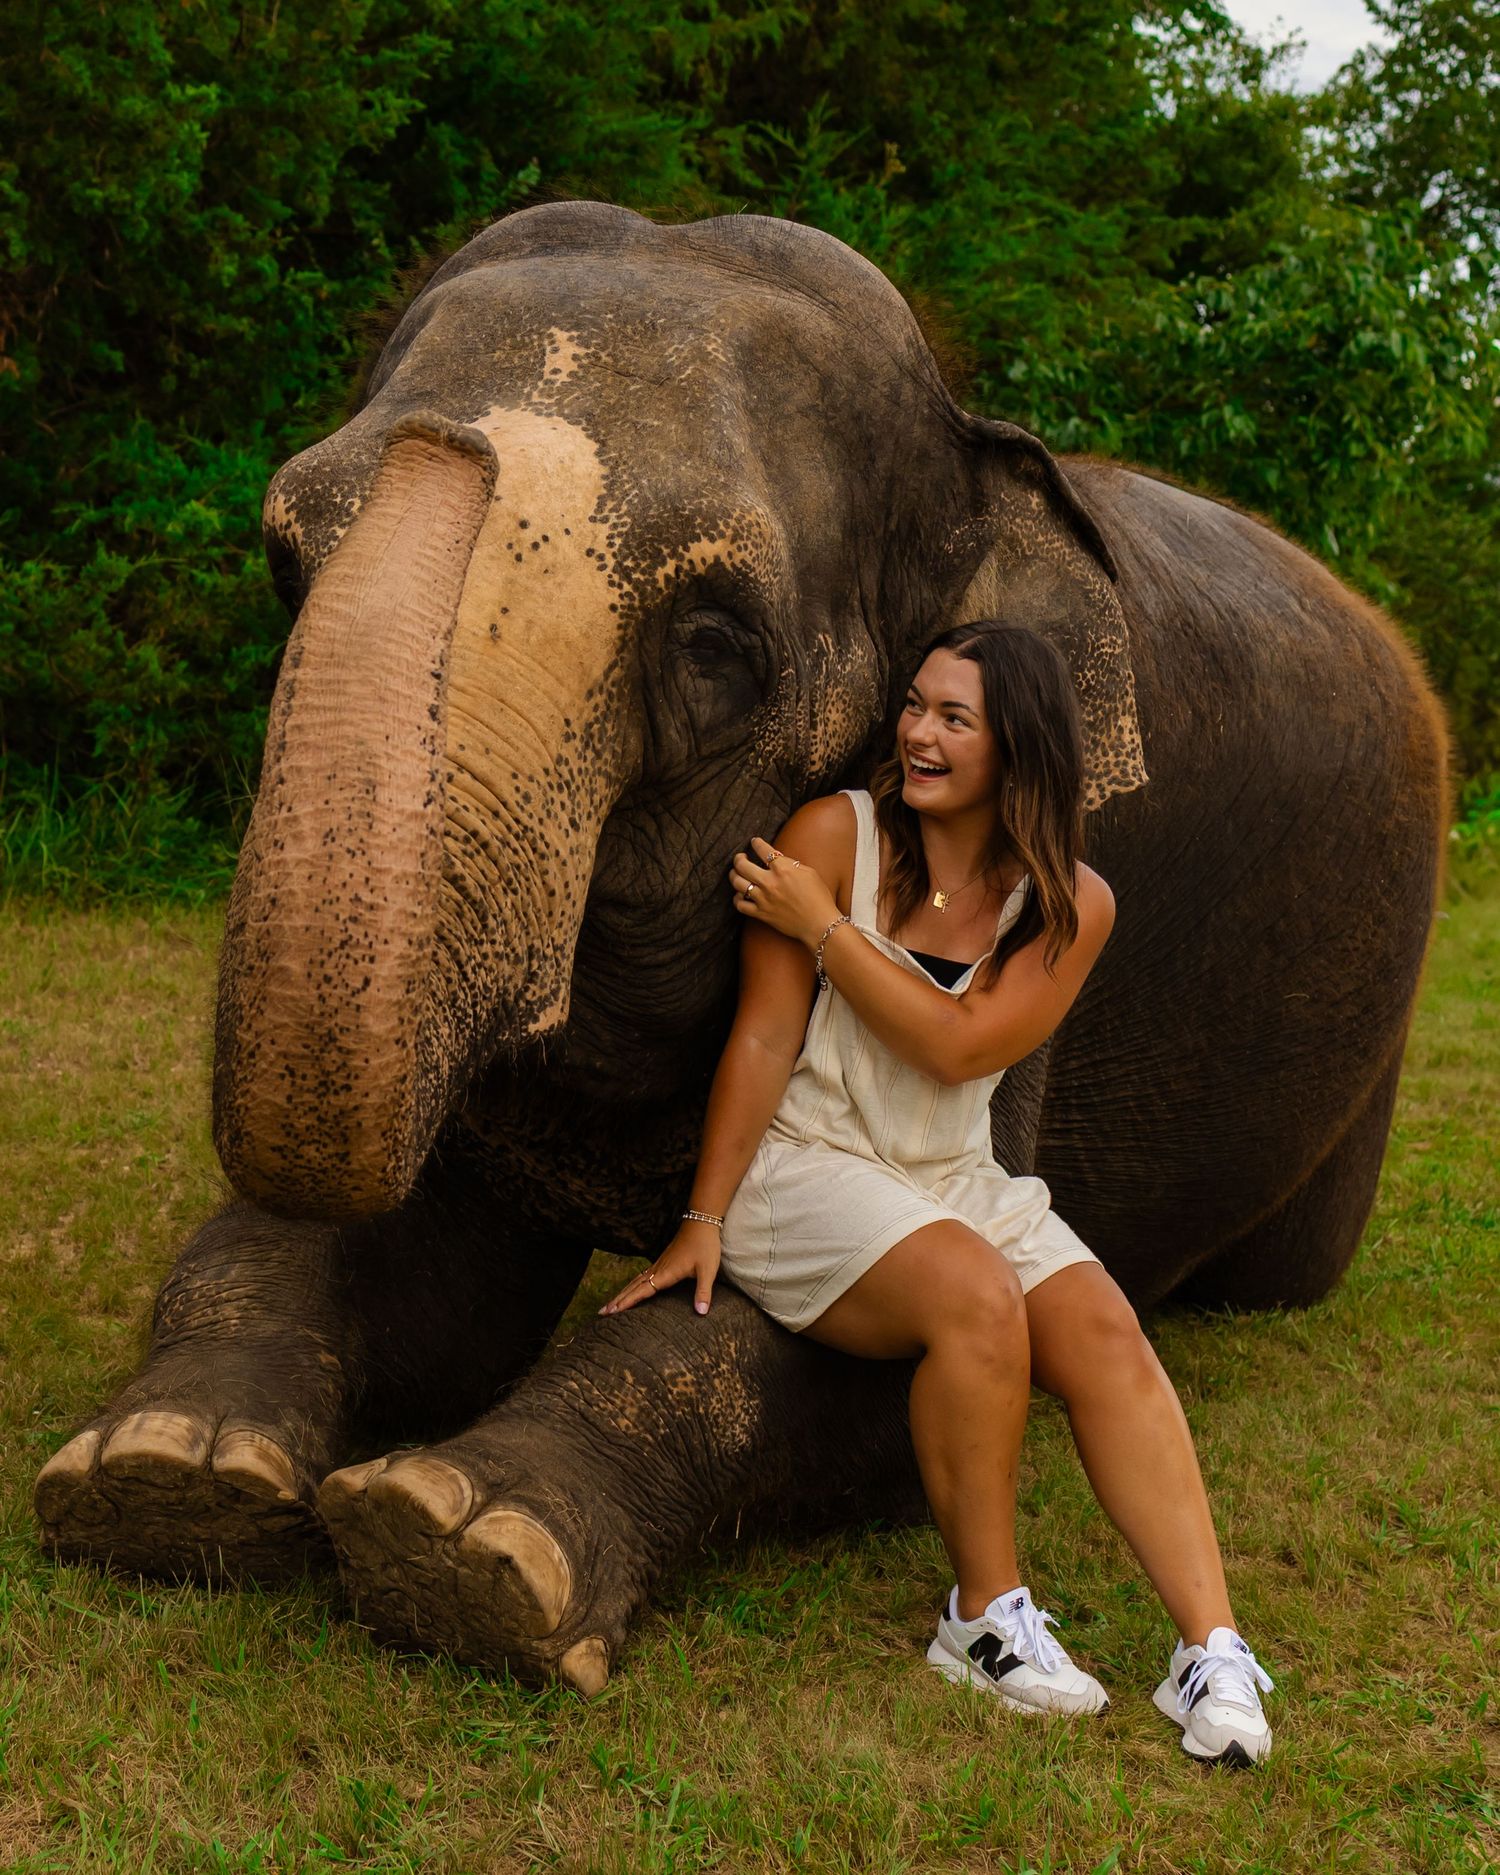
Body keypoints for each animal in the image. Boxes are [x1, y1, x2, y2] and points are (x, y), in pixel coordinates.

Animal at [34, 200, 1448, 1693]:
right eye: (285, 558)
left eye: (718, 642)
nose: (452, 442)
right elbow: (417, 1272)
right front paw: (162, 1471)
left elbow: (857, 1366)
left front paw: (470, 1541)